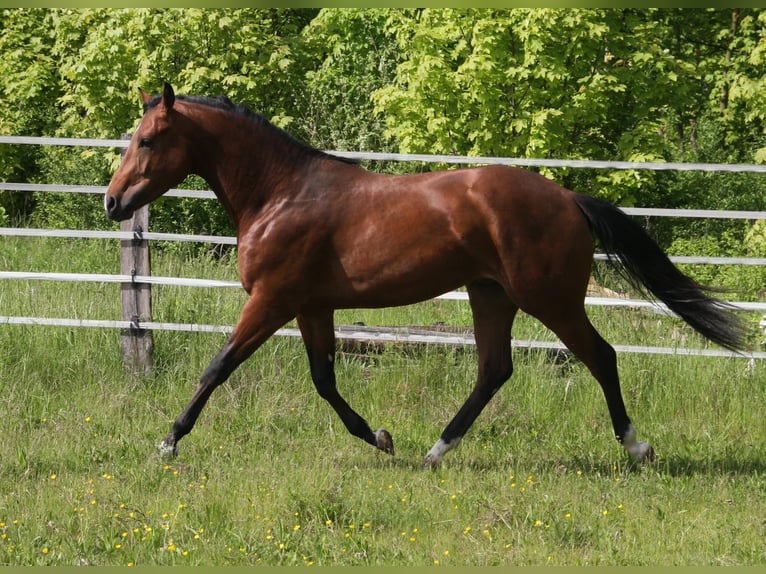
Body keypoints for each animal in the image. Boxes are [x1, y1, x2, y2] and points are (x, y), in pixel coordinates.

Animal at [105, 83, 746, 468]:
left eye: (149, 140)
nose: (113, 203)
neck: (281, 194)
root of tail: (567, 199)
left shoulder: (272, 300)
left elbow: (218, 366)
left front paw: (168, 441)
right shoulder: (312, 306)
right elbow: (324, 380)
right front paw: (381, 438)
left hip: (550, 299)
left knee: (601, 356)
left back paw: (637, 448)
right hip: (492, 296)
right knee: (494, 370)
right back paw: (435, 451)